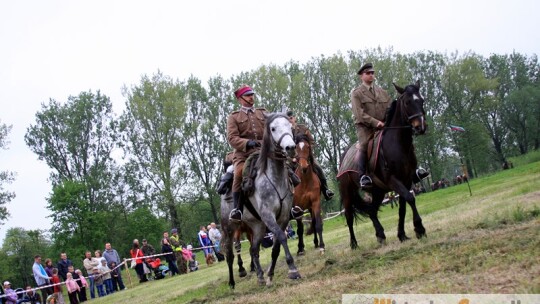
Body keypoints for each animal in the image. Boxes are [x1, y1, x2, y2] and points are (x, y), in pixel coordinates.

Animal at [340, 81, 428, 249]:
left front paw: (402, 234)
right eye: (407, 102)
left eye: (421, 100)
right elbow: (410, 198)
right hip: (348, 192)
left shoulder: (406, 180)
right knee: (348, 216)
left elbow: (403, 207)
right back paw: (354, 244)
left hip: (378, 191)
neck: (399, 144)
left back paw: (380, 235)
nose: (421, 127)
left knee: (372, 211)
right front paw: (419, 229)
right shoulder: (392, 180)